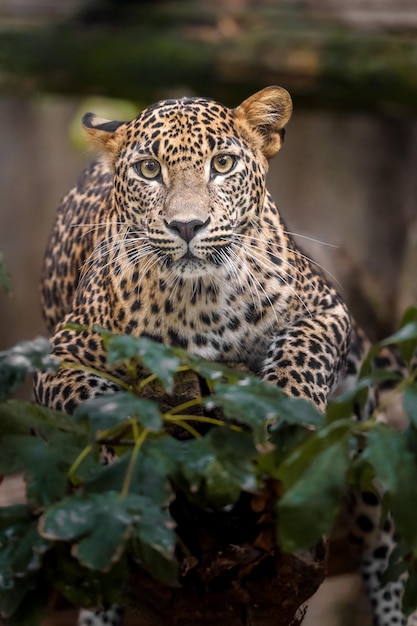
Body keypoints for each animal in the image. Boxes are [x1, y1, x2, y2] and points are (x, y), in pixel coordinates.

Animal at [34, 85, 414, 620]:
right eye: (149, 170)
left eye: (223, 164)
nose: (187, 226)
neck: (201, 299)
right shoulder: (58, 358)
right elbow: (101, 407)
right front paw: (123, 459)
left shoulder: (327, 308)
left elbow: (304, 353)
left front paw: (283, 412)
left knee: (385, 549)